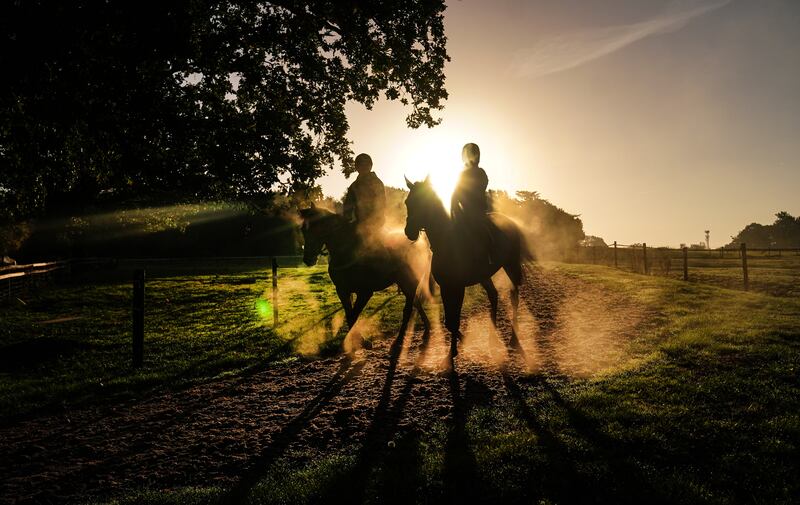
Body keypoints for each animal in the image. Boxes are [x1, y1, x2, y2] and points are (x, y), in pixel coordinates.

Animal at [298, 206, 432, 342]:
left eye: (317, 227)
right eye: (303, 229)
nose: (308, 259)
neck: (347, 253)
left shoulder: (365, 292)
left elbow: (354, 315)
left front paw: (360, 340)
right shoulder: (342, 291)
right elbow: (349, 315)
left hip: (408, 282)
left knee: (409, 308)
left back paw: (400, 337)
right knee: (416, 302)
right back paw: (427, 327)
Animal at [404, 175, 528, 356]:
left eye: (423, 202)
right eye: (407, 202)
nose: (409, 231)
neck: (447, 240)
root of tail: (510, 222)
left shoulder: (459, 286)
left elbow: (454, 319)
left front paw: (455, 348)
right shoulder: (446, 286)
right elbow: (449, 321)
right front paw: (458, 345)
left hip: (510, 265)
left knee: (514, 297)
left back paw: (513, 336)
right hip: (484, 276)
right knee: (494, 295)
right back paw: (492, 335)